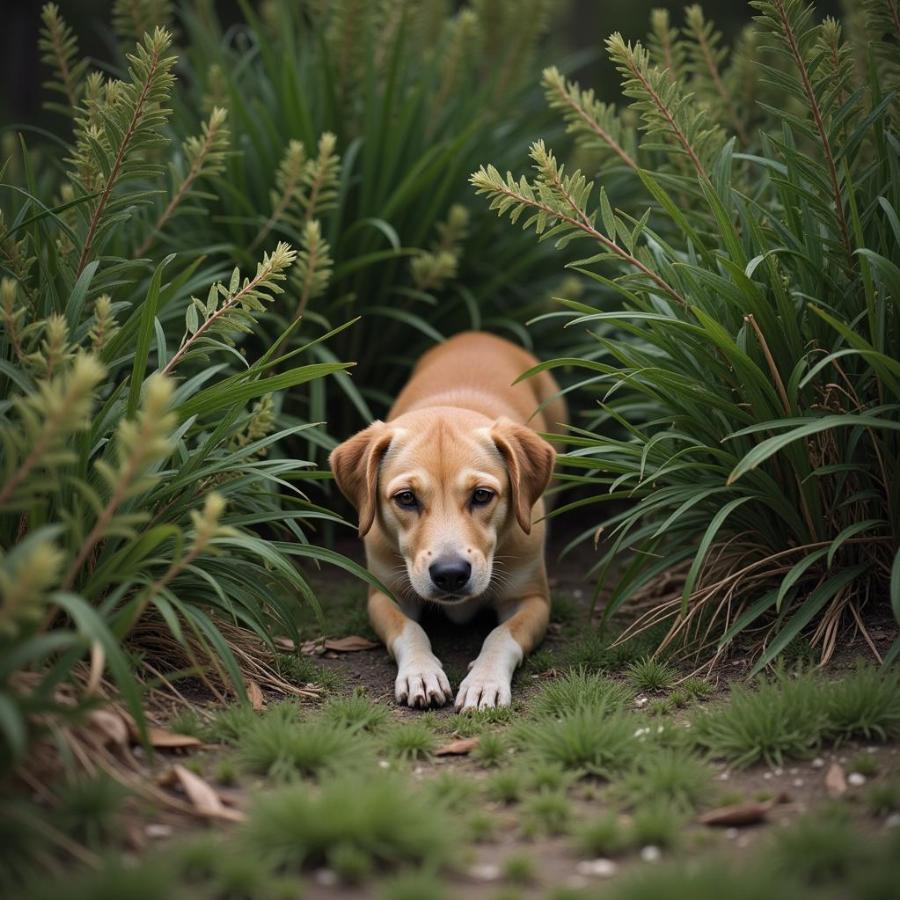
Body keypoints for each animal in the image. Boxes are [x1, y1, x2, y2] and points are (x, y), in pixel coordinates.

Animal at [330, 330, 568, 712]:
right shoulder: (384, 596)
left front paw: (484, 681)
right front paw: (421, 672)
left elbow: (501, 635)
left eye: (482, 495)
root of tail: (477, 334)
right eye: (406, 498)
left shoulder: (534, 601)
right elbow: (409, 629)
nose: (451, 574)